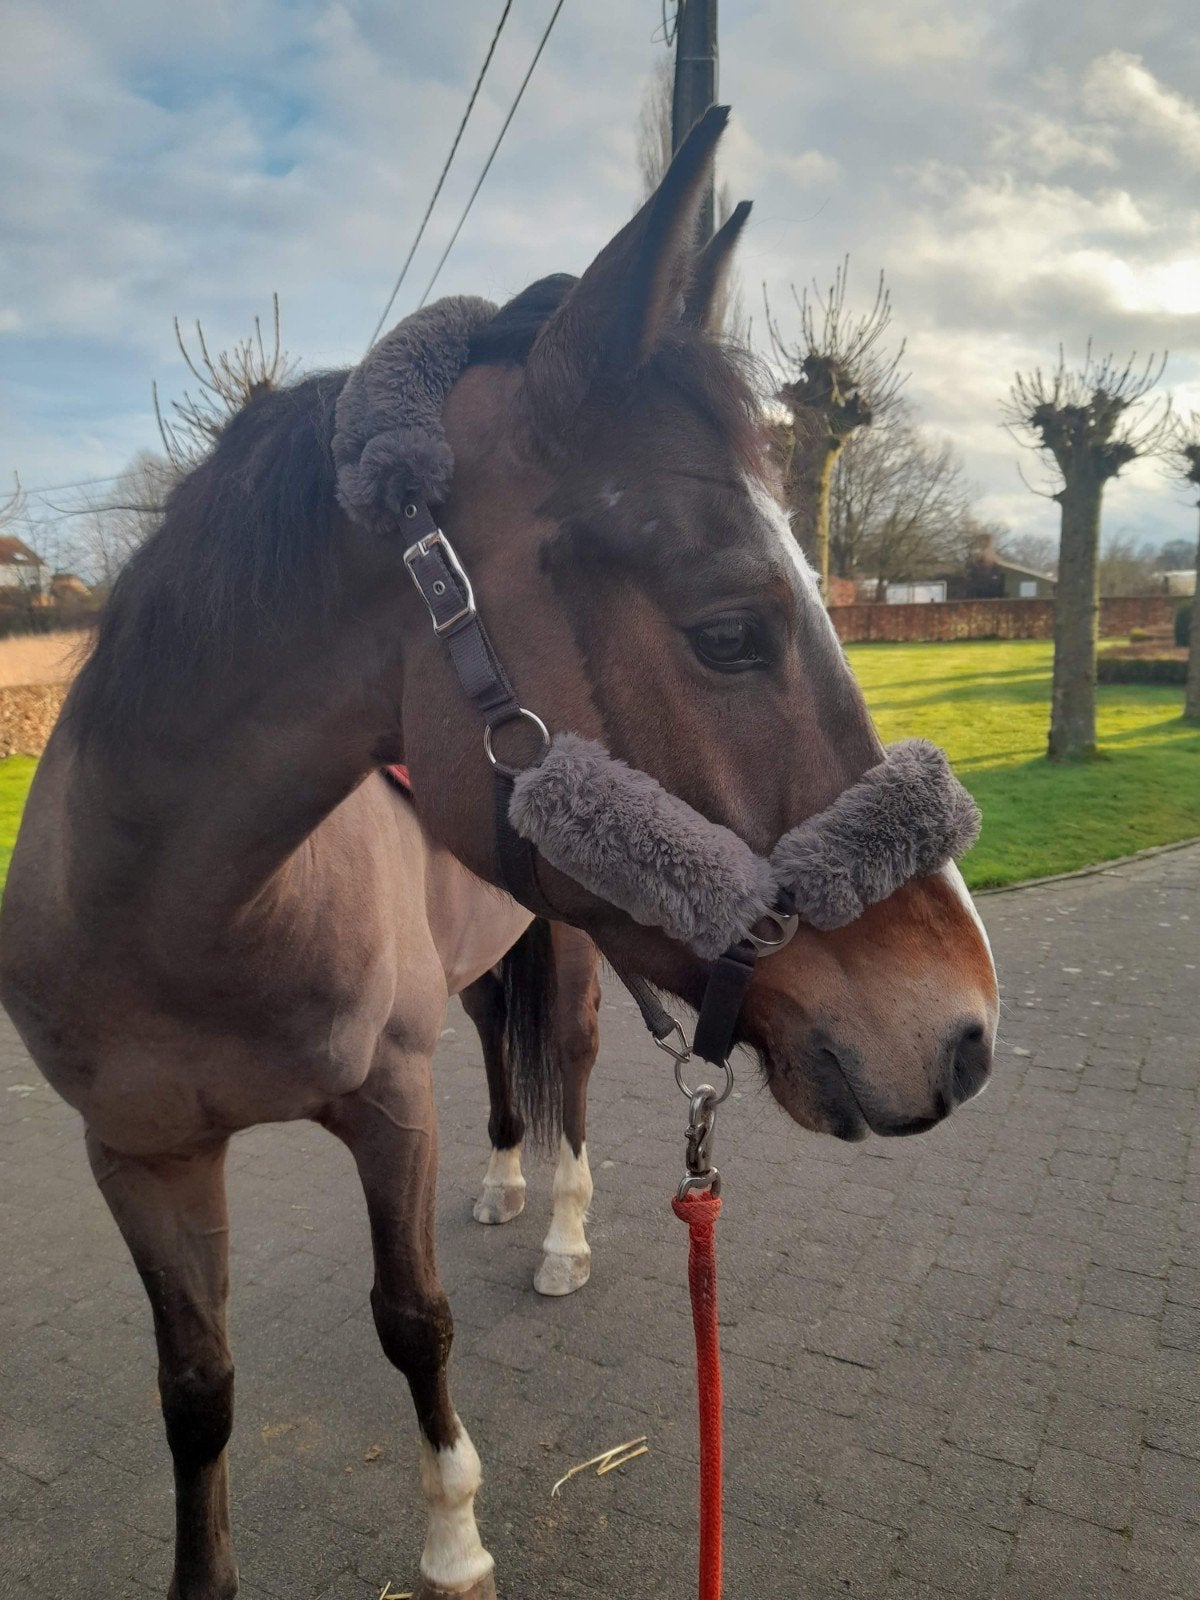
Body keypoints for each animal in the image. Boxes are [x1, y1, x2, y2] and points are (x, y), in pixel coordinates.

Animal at [0, 110, 998, 1600]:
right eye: (727, 631)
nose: (966, 1033)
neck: (184, 913)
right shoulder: (139, 1157)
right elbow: (196, 1390)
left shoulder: (387, 1106)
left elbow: (413, 1320)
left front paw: (454, 1534)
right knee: (501, 1059)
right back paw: (506, 1181)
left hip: (570, 951)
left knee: (568, 1069)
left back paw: (566, 1228)